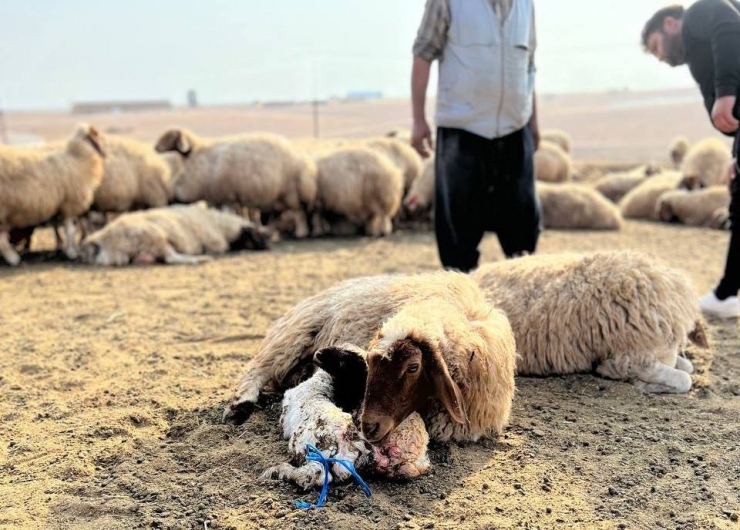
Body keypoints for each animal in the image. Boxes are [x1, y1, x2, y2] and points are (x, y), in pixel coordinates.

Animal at [0, 123, 105, 264]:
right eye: (96, 135)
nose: (104, 153)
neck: (79, 158)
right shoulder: (69, 204)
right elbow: (70, 231)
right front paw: (72, 253)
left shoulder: (64, 206)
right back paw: (13, 259)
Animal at [79, 204, 270, 266]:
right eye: (256, 235)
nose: (267, 246)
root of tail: (100, 240)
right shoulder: (215, 241)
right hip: (153, 236)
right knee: (170, 258)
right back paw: (200, 259)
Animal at [155, 128, 316, 237]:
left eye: (168, 137)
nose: (155, 148)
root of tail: (307, 164)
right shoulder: (220, 198)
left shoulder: (227, 197)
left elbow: (229, 213)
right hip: (276, 197)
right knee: (279, 215)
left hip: (290, 193)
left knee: (299, 213)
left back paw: (301, 233)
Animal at [223, 270, 516, 444]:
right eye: (371, 364)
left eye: (413, 367)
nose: (368, 426)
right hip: (292, 336)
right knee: (257, 370)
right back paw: (240, 406)